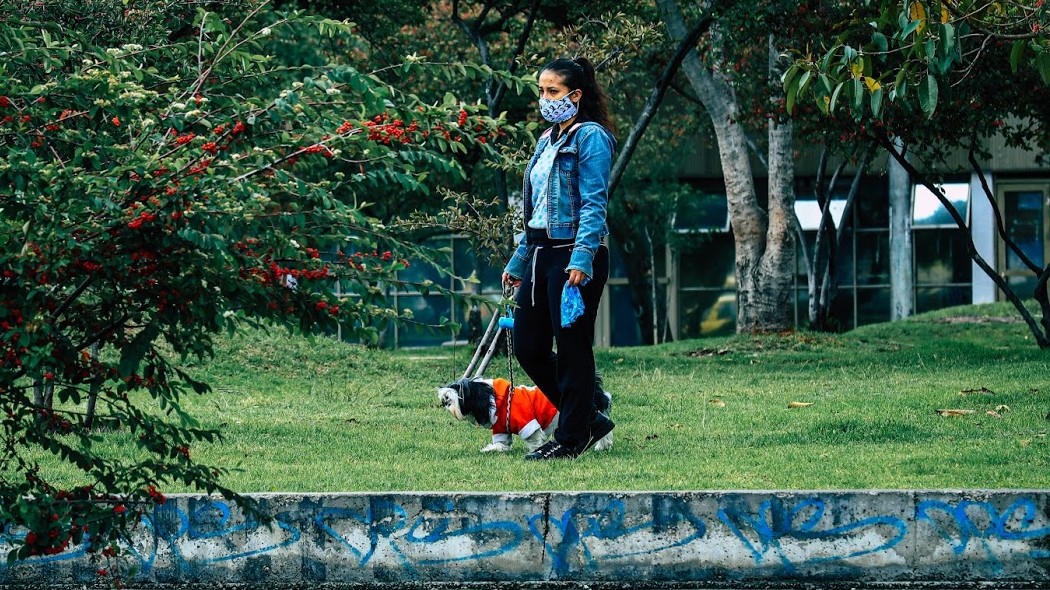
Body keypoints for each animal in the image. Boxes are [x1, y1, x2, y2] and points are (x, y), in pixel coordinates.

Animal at [436, 373, 613, 451]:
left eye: (460, 391)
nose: (445, 397)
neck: (496, 400)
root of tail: (596, 390)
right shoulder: (501, 429)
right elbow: (501, 443)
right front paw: (491, 449)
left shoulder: (527, 422)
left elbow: (534, 438)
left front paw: (535, 450)